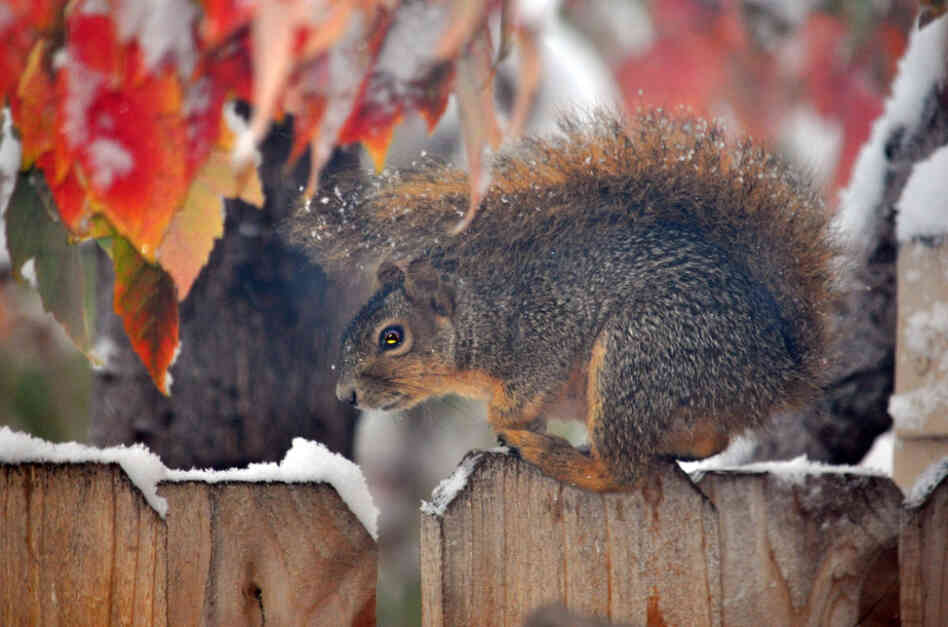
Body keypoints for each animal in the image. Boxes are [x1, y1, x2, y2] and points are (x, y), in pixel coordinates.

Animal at [285, 111, 836, 492]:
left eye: (392, 337)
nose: (346, 395)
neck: (484, 315)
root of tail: (775, 370)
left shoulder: (543, 335)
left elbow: (517, 398)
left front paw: (508, 424)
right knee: (709, 441)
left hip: (641, 353)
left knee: (622, 472)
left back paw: (552, 453)